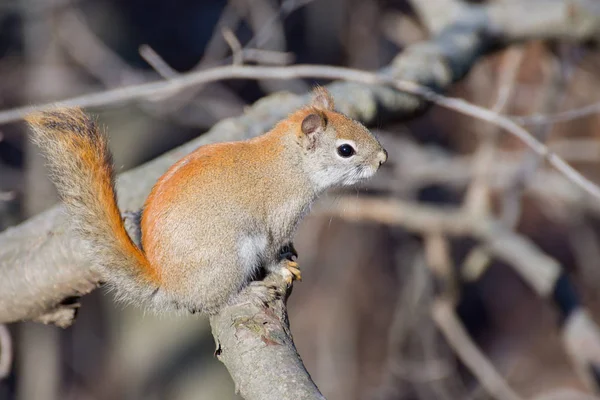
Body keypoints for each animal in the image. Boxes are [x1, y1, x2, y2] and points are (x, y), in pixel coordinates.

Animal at [25, 86, 386, 312]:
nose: (382, 158)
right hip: (228, 258)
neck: (288, 163)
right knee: (215, 301)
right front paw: (283, 267)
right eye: (345, 150)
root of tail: (169, 283)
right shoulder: (278, 218)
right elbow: (271, 252)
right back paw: (247, 293)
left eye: (358, 123)